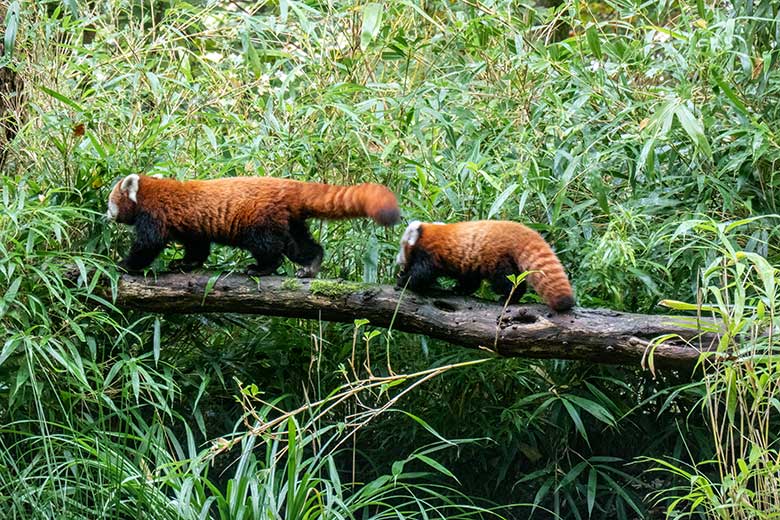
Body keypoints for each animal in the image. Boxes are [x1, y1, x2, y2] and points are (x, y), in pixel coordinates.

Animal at [108, 174, 402, 276]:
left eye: (111, 203)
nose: (107, 215)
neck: (147, 191)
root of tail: (289, 185)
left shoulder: (154, 216)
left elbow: (149, 245)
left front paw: (124, 265)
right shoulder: (192, 228)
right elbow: (197, 247)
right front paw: (185, 263)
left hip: (261, 221)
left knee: (269, 247)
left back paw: (261, 268)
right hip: (290, 219)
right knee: (300, 245)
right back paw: (311, 264)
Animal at [396, 220, 572, 312]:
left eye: (401, 247)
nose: (397, 260)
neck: (426, 233)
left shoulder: (429, 254)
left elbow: (421, 274)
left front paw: (403, 280)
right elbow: (469, 280)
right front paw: (460, 289)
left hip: (497, 260)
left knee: (505, 281)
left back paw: (508, 297)